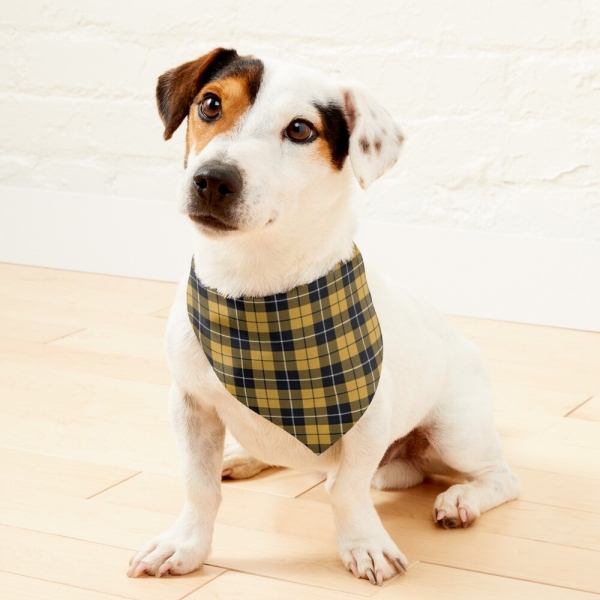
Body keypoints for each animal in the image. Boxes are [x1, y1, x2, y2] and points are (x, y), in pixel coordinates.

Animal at [127, 48, 520, 584]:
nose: (212, 179)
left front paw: (365, 544)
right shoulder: (190, 405)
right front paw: (185, 545)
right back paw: (244, 456)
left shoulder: (367, 420)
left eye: (299, 130)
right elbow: (199, 486)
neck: (256, 289)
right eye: (210, 104)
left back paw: (461, 499)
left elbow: (347, 490)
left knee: (500, 477)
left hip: (456, 432)